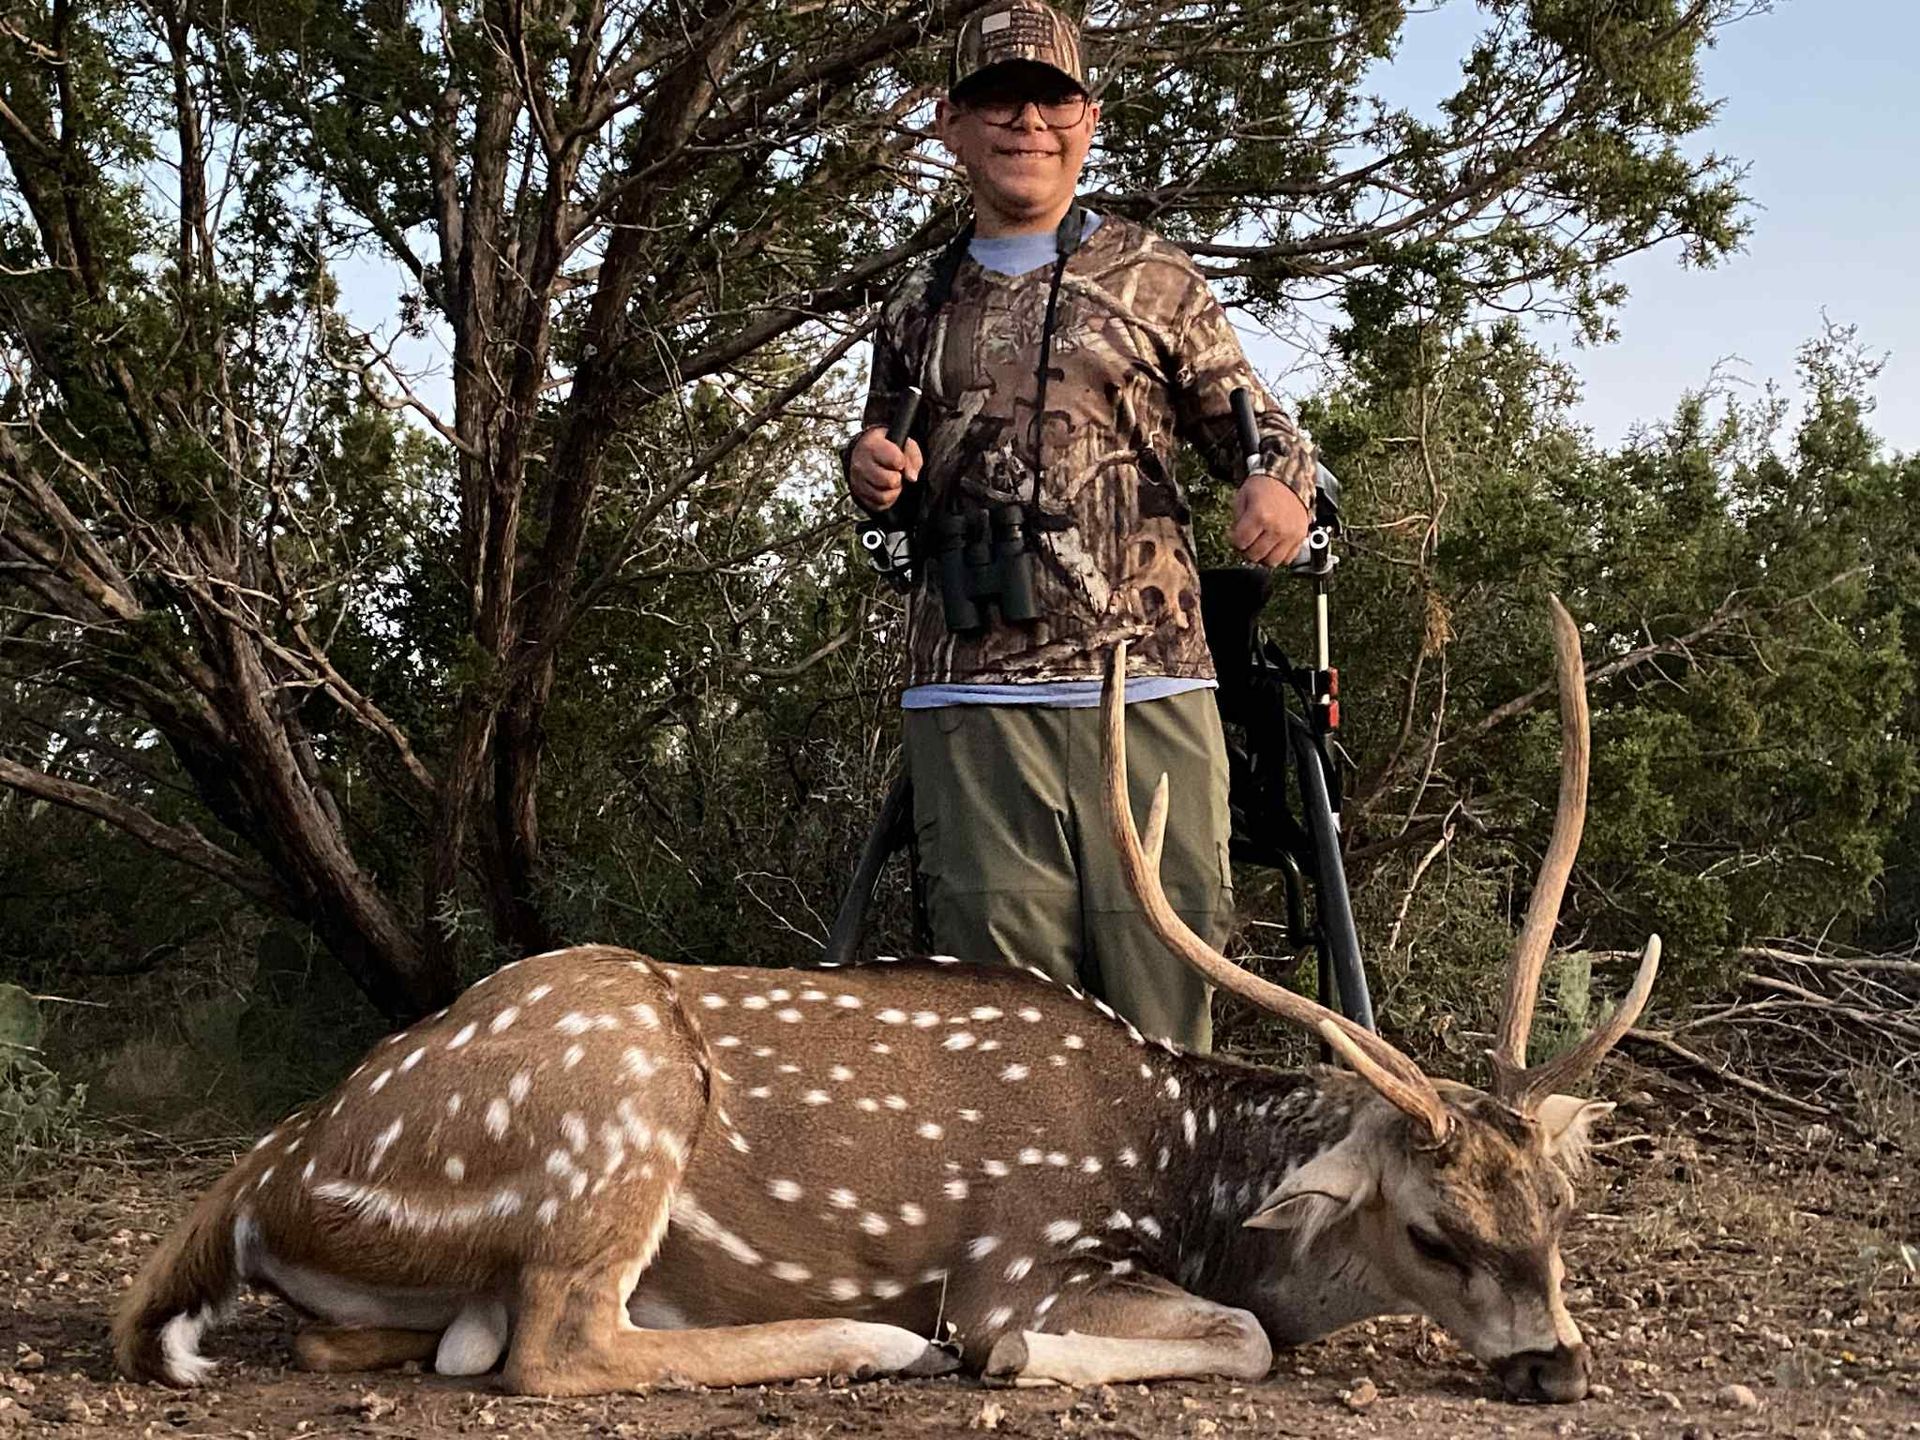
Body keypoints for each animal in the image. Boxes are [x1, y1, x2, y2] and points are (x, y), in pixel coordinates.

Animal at [115, 597, 1659, 1403]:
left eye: (1560, 1210)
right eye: (1434, 1232)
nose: (1561, 1367)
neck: (1188, 1179)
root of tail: (260, 1176)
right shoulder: (1030, 1251)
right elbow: (1242, 1337)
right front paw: (1011, 1362)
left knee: (398, 1334)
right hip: (610, 1106)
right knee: (556, 1345)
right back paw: (870, 1340)